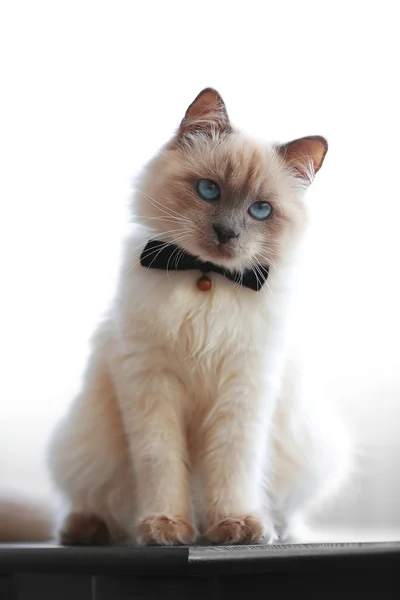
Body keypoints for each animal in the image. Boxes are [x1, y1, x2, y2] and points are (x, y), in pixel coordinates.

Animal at [46, 88, 350, 544]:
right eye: (209, 190)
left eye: (261, 211)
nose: (226, 233)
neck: (207, 280)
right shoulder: (151, 385)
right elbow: (161, 463)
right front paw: (167, 527)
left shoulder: (243, 389)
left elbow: (232, 464)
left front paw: (234, 526)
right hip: (84, 445)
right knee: (102, 506)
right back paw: (87, 529)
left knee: (286, 512)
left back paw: (272, 531)